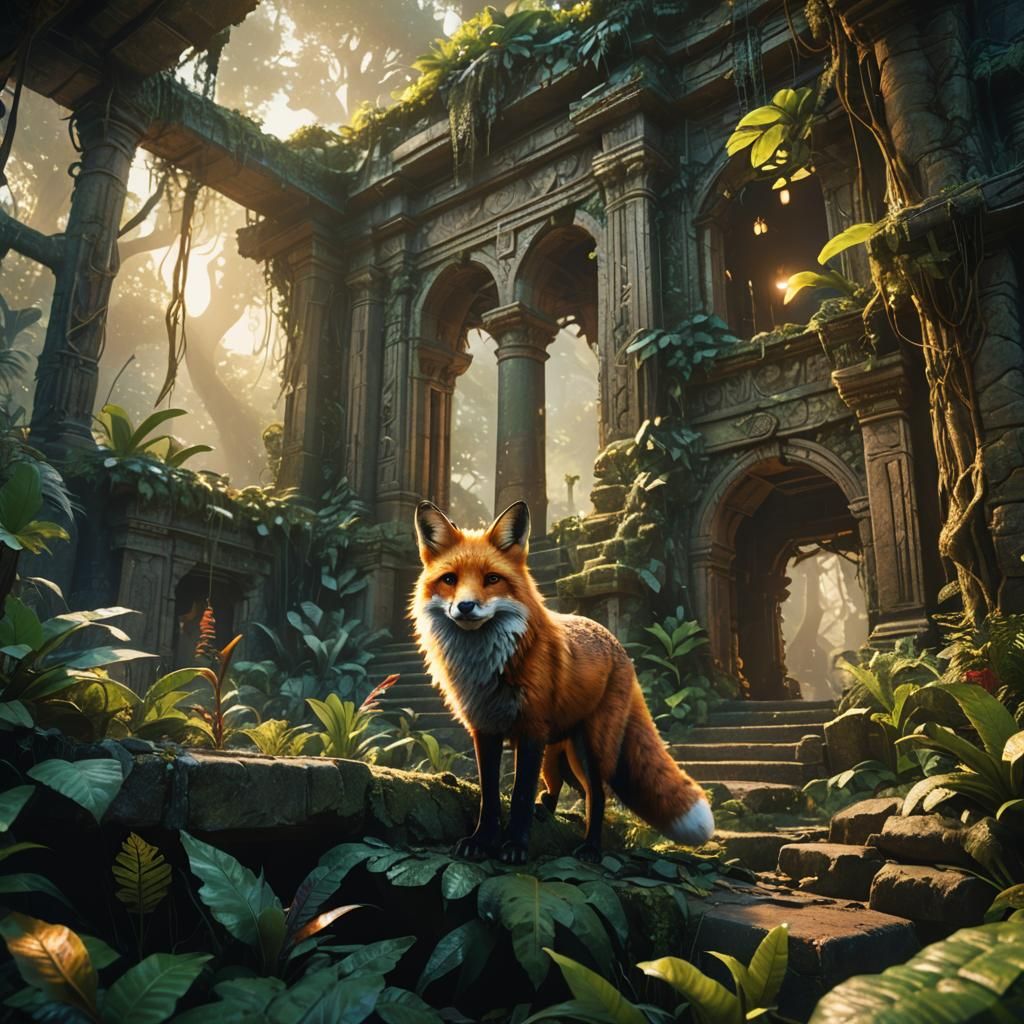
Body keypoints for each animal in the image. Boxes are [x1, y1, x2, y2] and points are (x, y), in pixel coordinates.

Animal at [411, 499, 714, 864]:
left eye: (492, 579)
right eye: (449, 579)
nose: (465, 606)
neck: (488, 666)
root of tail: (616, 643)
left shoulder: (531, 730)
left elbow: (520, 796)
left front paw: (516, 846)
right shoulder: (485, 729)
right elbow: (490, 796)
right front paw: (481, 841)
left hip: (590, 748)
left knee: (596, 795)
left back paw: (591, 847)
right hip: (557, 750)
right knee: (558, 786)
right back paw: (548, 809)